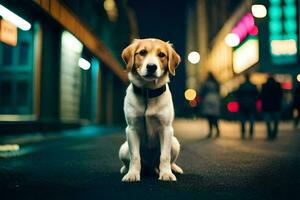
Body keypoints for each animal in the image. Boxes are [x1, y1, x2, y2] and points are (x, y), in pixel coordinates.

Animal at [119, 38, 183, 182]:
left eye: (162, 55)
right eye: (142, 52)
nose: (152, 66)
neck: (148, 91)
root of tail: (150, 168)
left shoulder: (166, 129)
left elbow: (165, 156)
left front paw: (166, 174)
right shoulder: (132, 129)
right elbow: (135, 156)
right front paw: (132, 174)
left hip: (175, 142)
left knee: (169, 161)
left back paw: (173, 169)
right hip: (123, 148)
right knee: (129, 160)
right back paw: (126, 169)